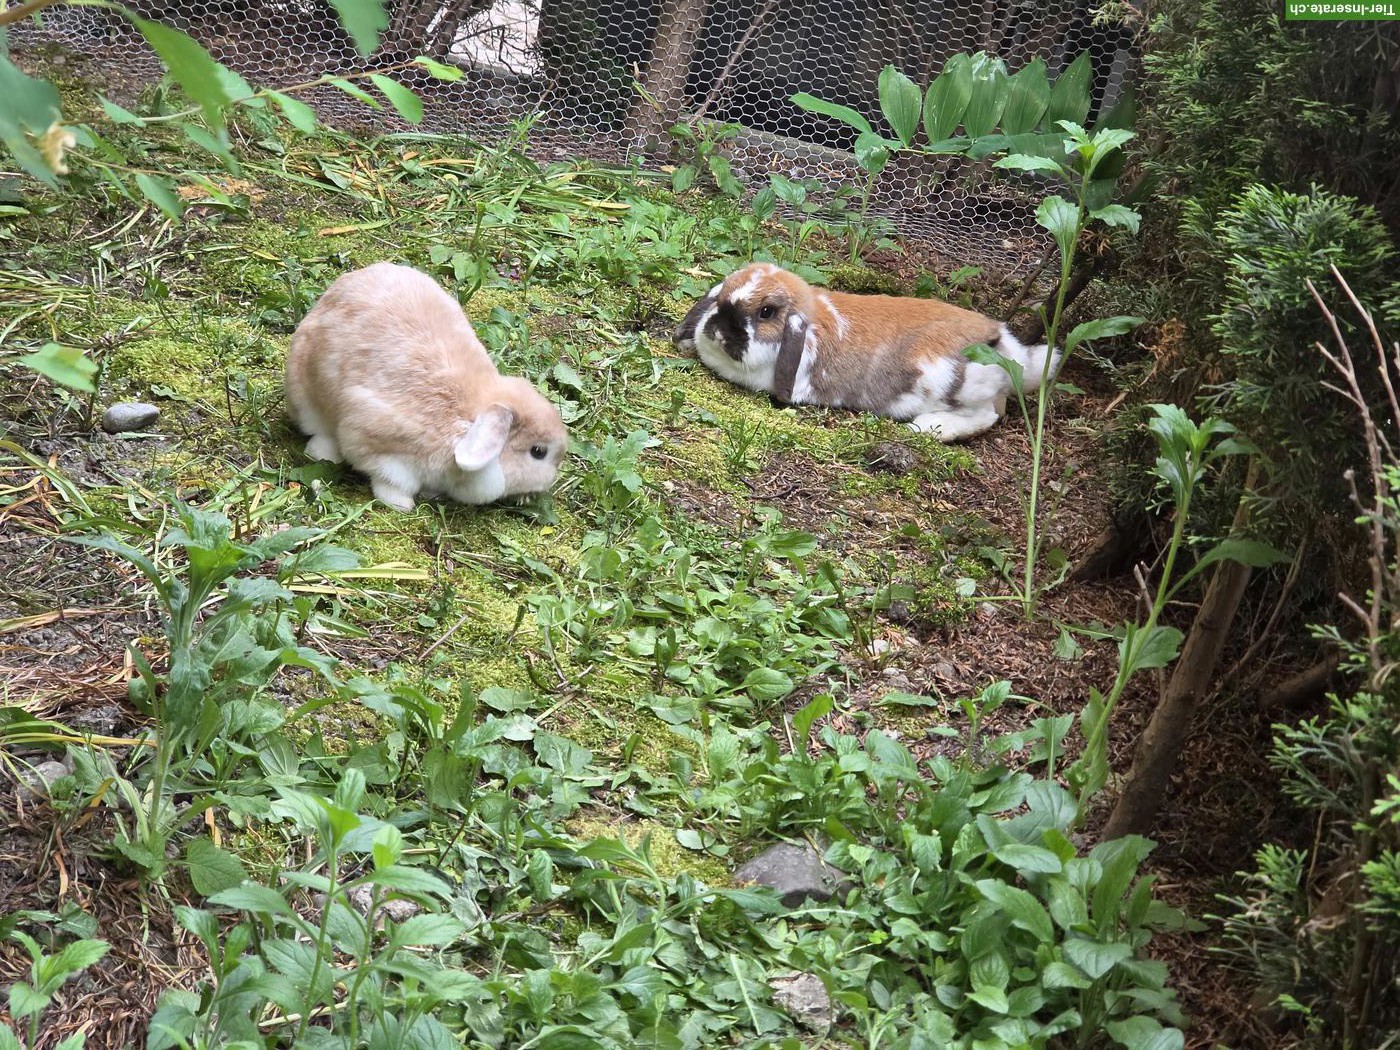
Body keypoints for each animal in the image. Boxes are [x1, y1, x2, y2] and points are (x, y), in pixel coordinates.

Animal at [285, 262, 567, 512]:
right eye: (538, 452)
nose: (549, 481)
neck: (465, 419)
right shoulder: (377, 444)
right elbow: (389, 479)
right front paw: (401, 504)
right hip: (306, 395)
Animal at [673, 262, 1060, 442]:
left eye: (766, 312)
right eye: (721, 298)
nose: (718, 328)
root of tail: (1009, 351)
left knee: (986, 416)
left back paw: (927, 428)